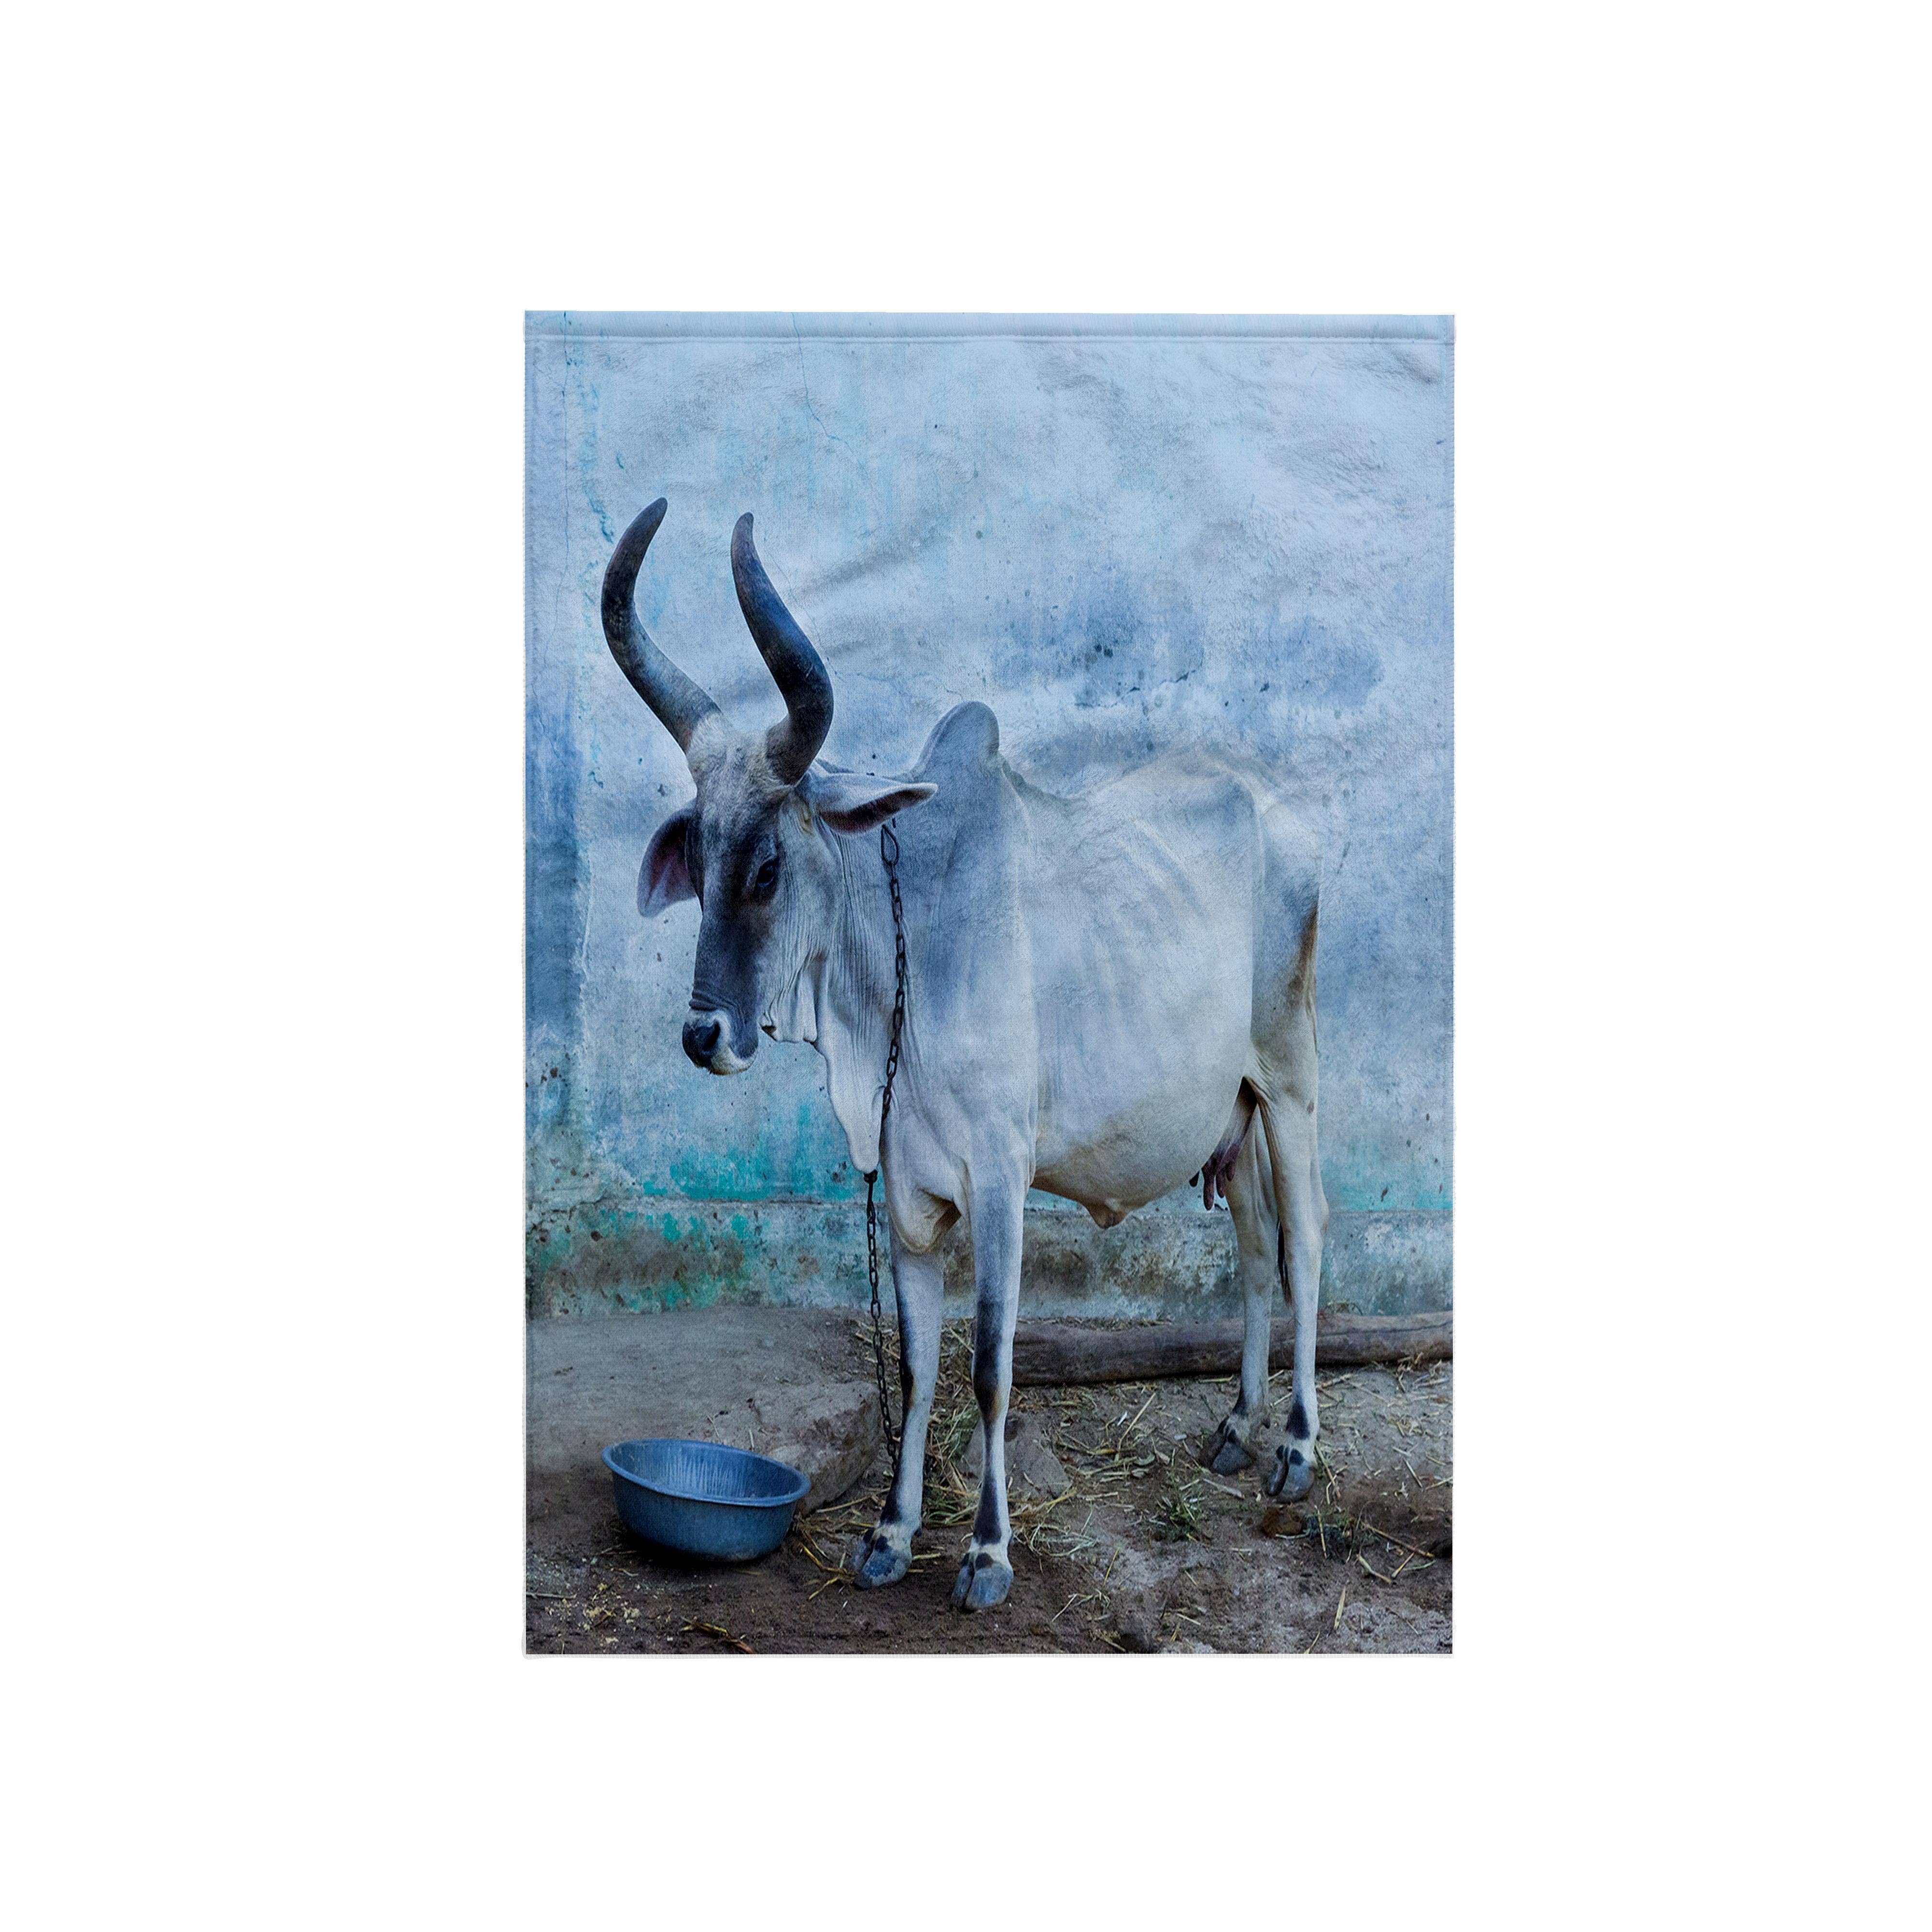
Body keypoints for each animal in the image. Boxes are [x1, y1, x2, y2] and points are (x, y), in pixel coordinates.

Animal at [602, 498, 1327, 1611]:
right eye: (701, 861)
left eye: (767, 867)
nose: (703, 1035)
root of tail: (1278, 810)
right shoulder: (906, 1187)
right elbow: (917, 1365)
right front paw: (891, 1534)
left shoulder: (998, 1179)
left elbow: (989, 1367)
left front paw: (986, 1551)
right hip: (1231, 1111)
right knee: (1252, 1249)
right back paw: (1237, 1430)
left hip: (1289, 1080)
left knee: (1306, 1243)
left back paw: (1294, 1447)